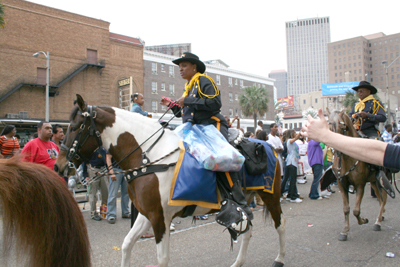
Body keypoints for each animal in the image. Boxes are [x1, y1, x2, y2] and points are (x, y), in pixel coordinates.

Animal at [54, 96, 286, 267]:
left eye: (74, 127)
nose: (59, 165)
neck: (148, 156)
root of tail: (269, 146)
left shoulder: (160, 218)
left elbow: (162, 259)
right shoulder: (147, 213)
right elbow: (127, 244)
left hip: (271, 195)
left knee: (280, 225)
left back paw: (280, 259)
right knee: (247, 231)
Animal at [328, 110, 388, 242]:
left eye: (342, 127)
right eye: (328, 128)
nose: (336, 151)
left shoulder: (360, 184)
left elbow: (356, 210)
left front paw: (363, 220)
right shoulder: (342, 184)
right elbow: (346, 209)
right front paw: (345, 230)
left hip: (383, 179)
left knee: (384, 199)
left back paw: (378, 222)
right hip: (373, 181)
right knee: (380, 199)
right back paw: (381, 217)